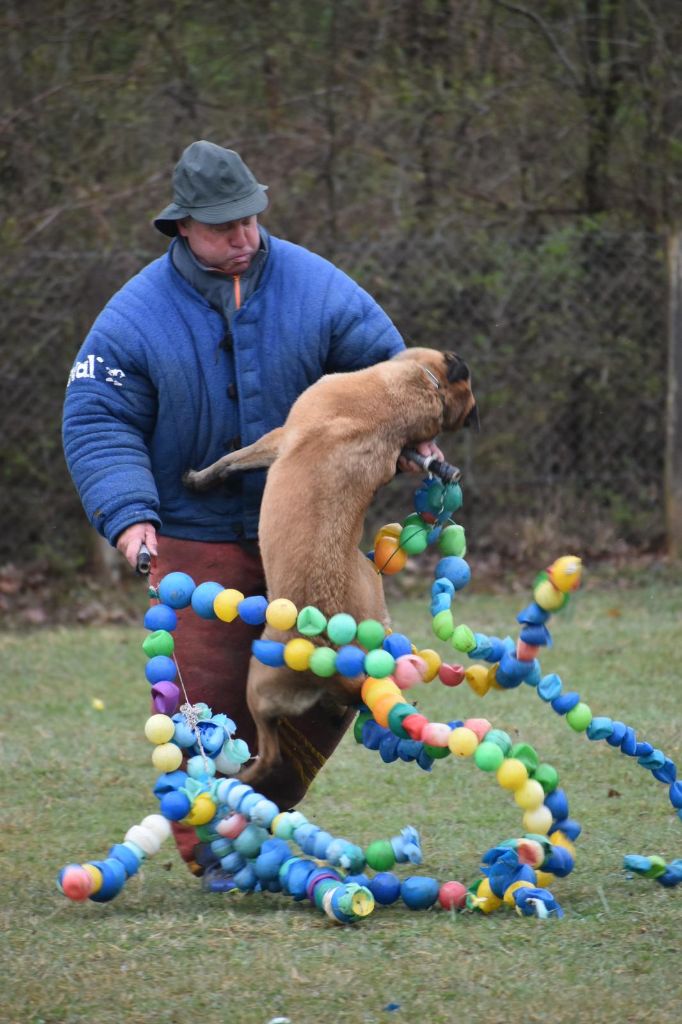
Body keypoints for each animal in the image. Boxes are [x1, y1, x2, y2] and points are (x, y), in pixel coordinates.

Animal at [183, 348, 475, 786]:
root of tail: (333, 657)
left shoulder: (279, 436)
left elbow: (229, 461)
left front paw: (198, 478)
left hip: (260, 684)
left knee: (271, 757)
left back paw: (233, 778)